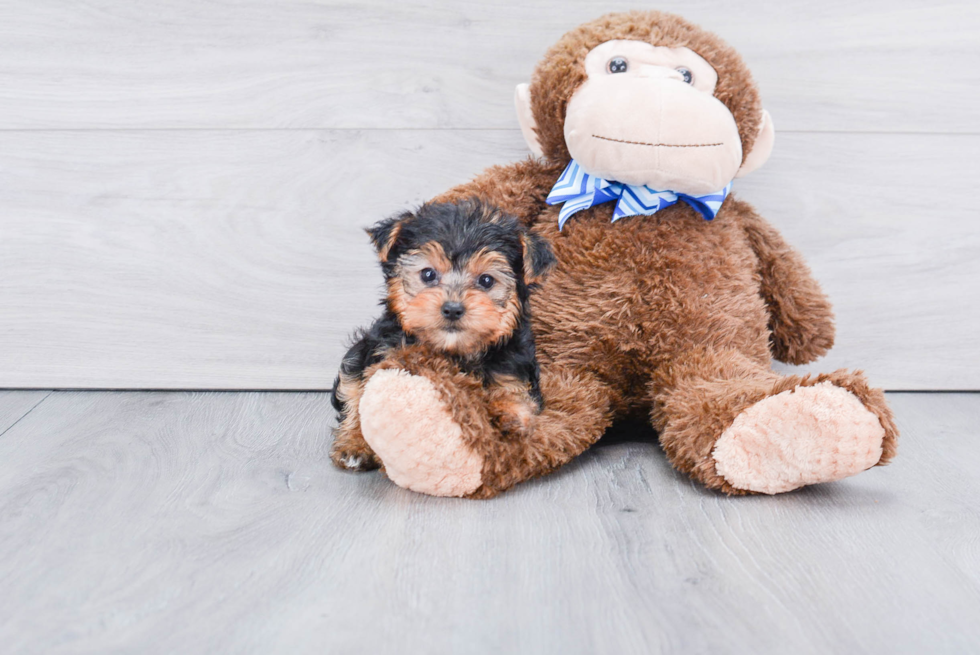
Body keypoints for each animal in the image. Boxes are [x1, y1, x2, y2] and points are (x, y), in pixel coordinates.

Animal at [330, 200, 556, 472]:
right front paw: (356, 442)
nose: (452, 308)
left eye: (486, 280)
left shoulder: (513, 368)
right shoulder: (382, 352)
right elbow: (363, 396)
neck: (454, 351)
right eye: (428, 274)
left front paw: (511, 415)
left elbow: (516, 394)